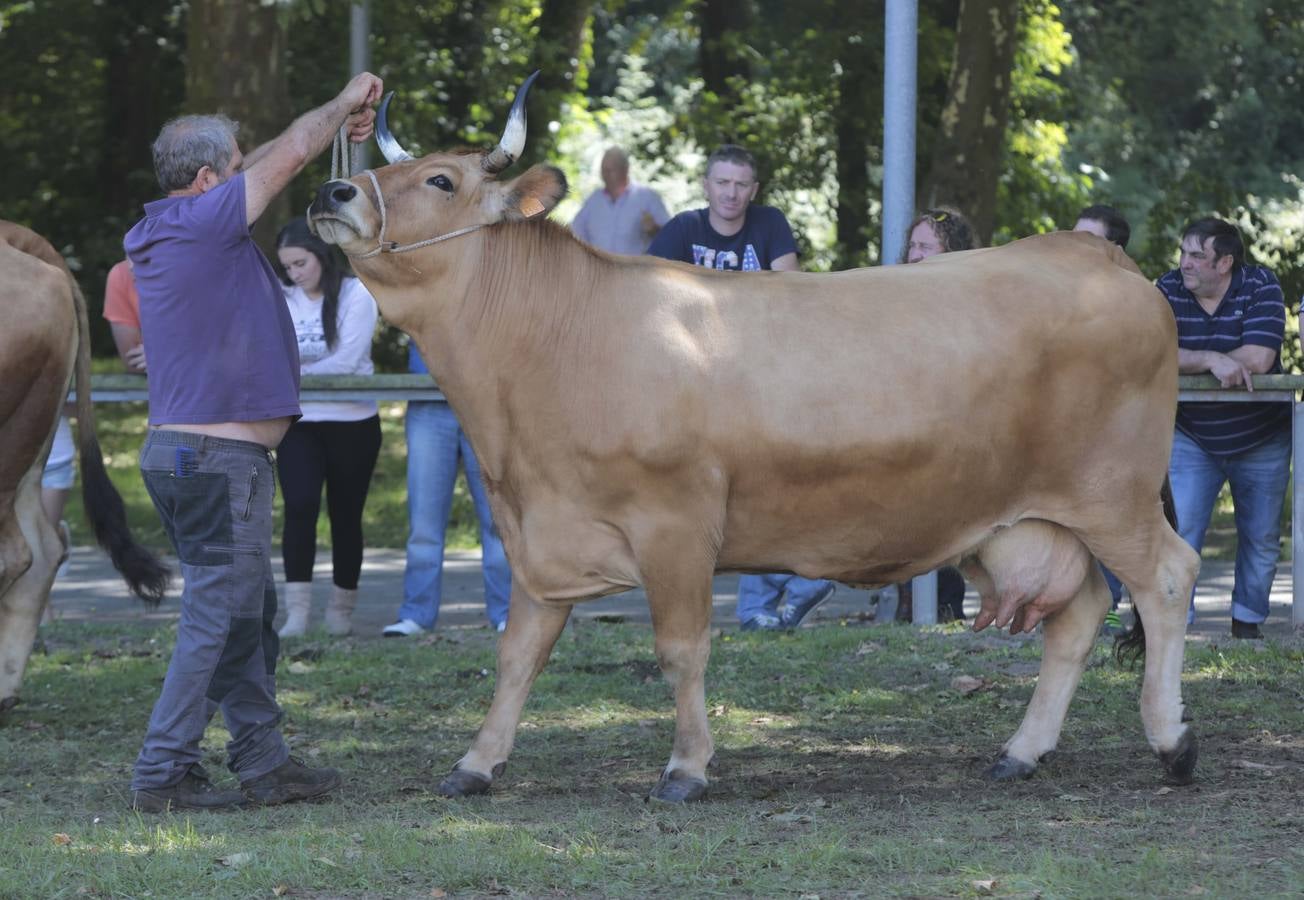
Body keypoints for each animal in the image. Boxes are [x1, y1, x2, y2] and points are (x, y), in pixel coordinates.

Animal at [307, 78, 1199, 798]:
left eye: (441, 179)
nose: (334, 187)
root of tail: (1097, 255)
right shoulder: (539, 531)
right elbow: (518, 653)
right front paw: (476, 763)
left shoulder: (675, 527)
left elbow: (681, 649)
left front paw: (687, 767)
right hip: (1030, 518)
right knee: (1079, 612)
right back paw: (1023, 750)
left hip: (1115, 494)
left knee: (1167, 579)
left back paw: (1172, 741)